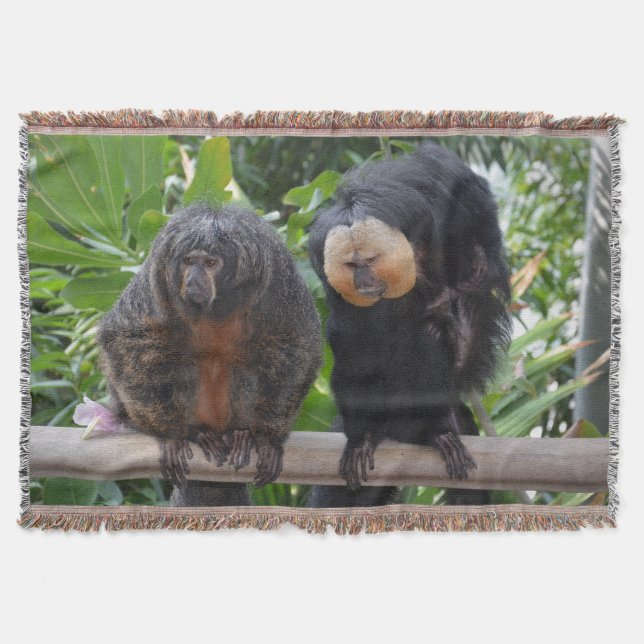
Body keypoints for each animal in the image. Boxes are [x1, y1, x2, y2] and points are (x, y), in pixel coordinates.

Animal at [97, 203, 322, 499]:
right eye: (189, 261)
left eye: (211, 264)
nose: (193, 280)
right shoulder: (157, 277)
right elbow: (123, 338)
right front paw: (171, 435)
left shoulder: (278, 277)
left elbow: (299, 342)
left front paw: (267, 439)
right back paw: (198, 433)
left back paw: (240, 435)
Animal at [307, 142, 511, 506]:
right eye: (351, 265)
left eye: (370, 260)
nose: (363, 281)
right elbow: (351, 345)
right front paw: (359, 438)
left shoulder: (426, 198)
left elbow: (467, 192)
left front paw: (475, 263)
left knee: (428, 336)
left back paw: (434, 432)